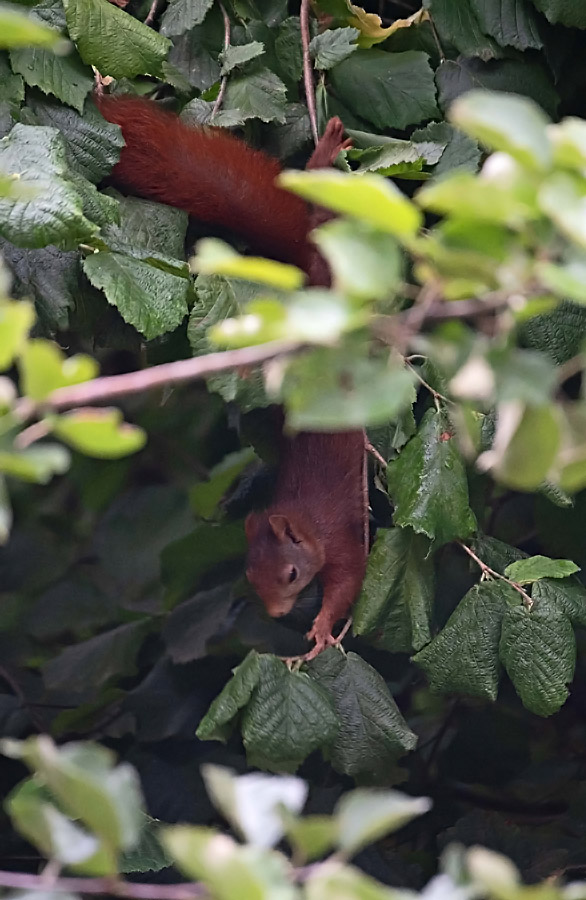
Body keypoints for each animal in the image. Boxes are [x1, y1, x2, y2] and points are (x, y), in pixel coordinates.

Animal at [97, 94, 367, 657]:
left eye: (291, 575)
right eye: (250, 577)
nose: (277, 613)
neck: (301, 517)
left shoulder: (339, 536)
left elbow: (349, 580)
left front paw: (321, 628)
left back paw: (326, 155)